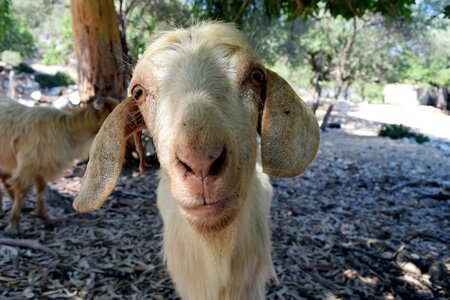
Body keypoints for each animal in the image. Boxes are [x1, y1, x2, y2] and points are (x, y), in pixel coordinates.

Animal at [0, 95, 118, 234]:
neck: (67, 131)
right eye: (111, 112)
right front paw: (13, 226)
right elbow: (22, 190)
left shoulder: (43, 166)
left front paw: (44, 216)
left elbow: (41, 189)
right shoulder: (28, 165)